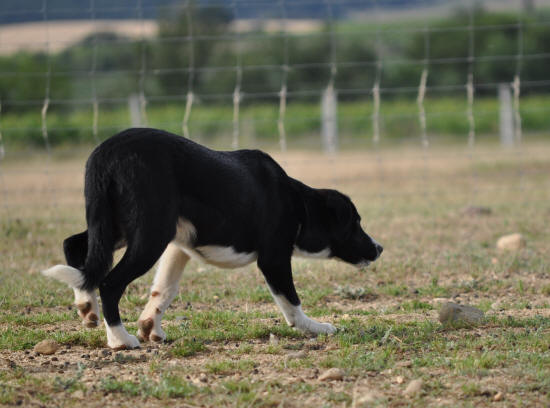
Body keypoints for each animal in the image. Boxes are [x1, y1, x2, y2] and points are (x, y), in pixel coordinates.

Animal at [43, 129, 384, 350]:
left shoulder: (178, 247)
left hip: (115, 227)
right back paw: (118, 339)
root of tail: (106, 152)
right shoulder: (273, 258)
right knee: (110, 282)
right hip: (149, 233)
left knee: (74, 246)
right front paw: (316, 327)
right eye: (355, 223)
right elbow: (291, 302)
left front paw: (151, 327)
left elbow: (163, 290)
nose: (379, 248)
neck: (298, 204)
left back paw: (86, 306)